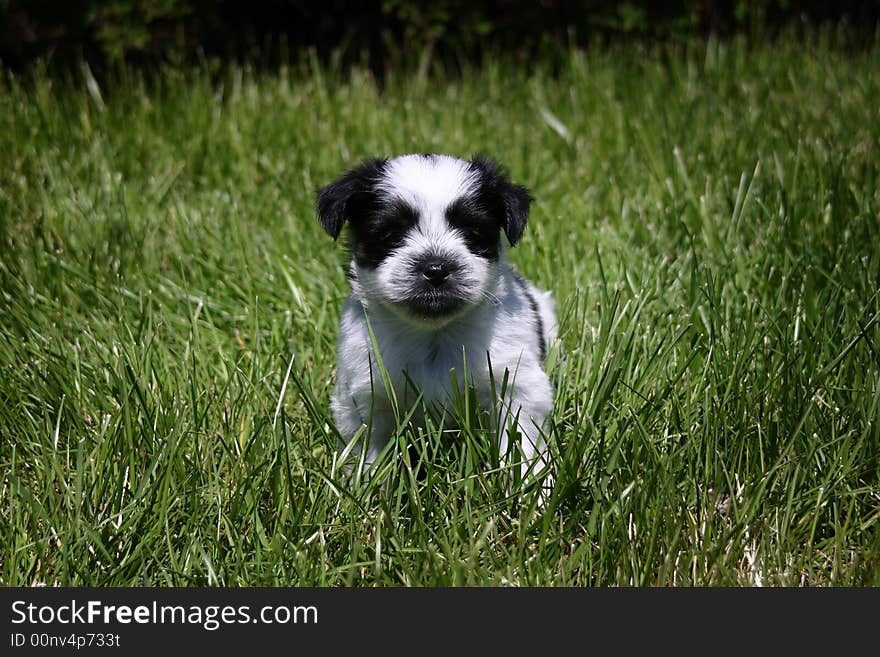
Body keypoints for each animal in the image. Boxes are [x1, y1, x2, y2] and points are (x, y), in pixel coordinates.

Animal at [316, 152, 556, 482]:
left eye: (472, 232)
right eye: (391, 234)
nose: (436, 269)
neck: (435, 334)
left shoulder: (518, 386)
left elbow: (523, 445)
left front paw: (532, 488)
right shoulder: (366, 397)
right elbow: (369, 455)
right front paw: (367, 492)